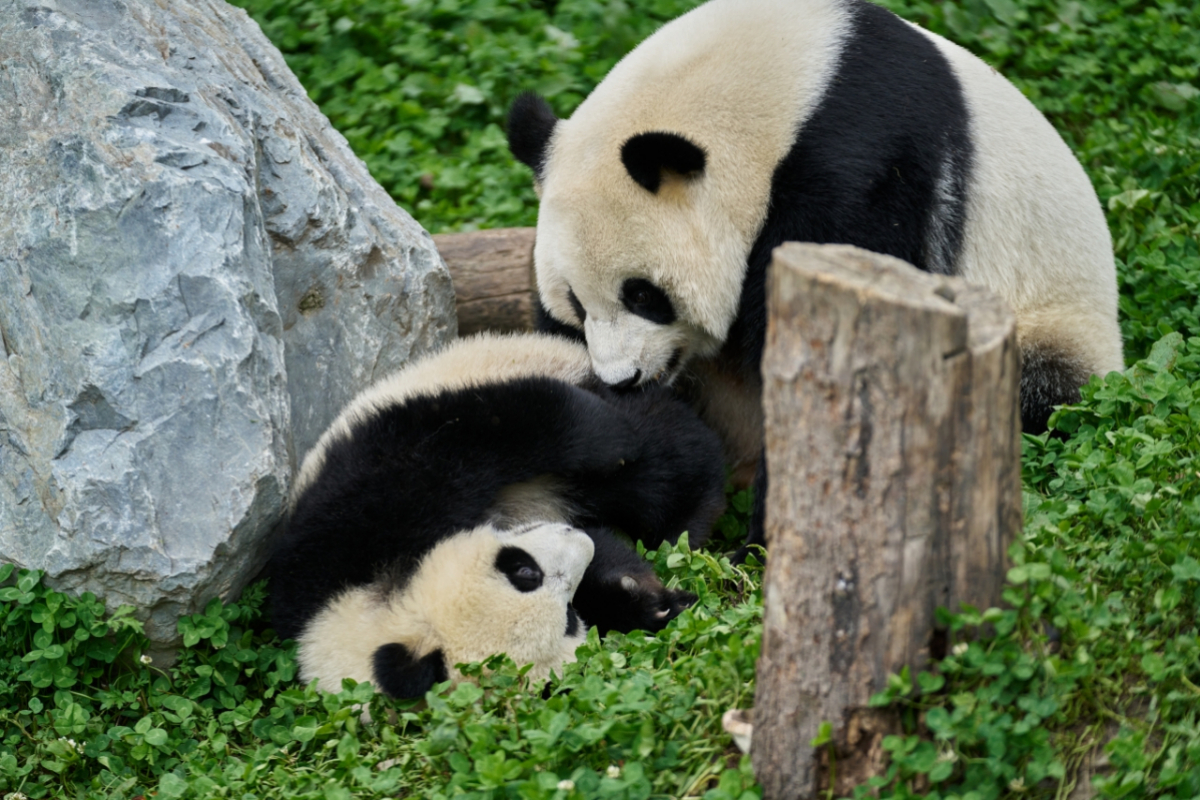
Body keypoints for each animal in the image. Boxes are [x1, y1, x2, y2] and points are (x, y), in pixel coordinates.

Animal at [271, 331, 720, 695]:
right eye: (570, 619)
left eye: (522, 570)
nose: (577, 538)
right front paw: (644, 600)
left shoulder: (344, 529)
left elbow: (471, 435)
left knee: (662, 457)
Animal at [506, 0, 1123, 551]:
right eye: (575, 304)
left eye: (642, 294)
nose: (622, 379)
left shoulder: (860, 166)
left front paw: (759, 546)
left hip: (1051, 320)